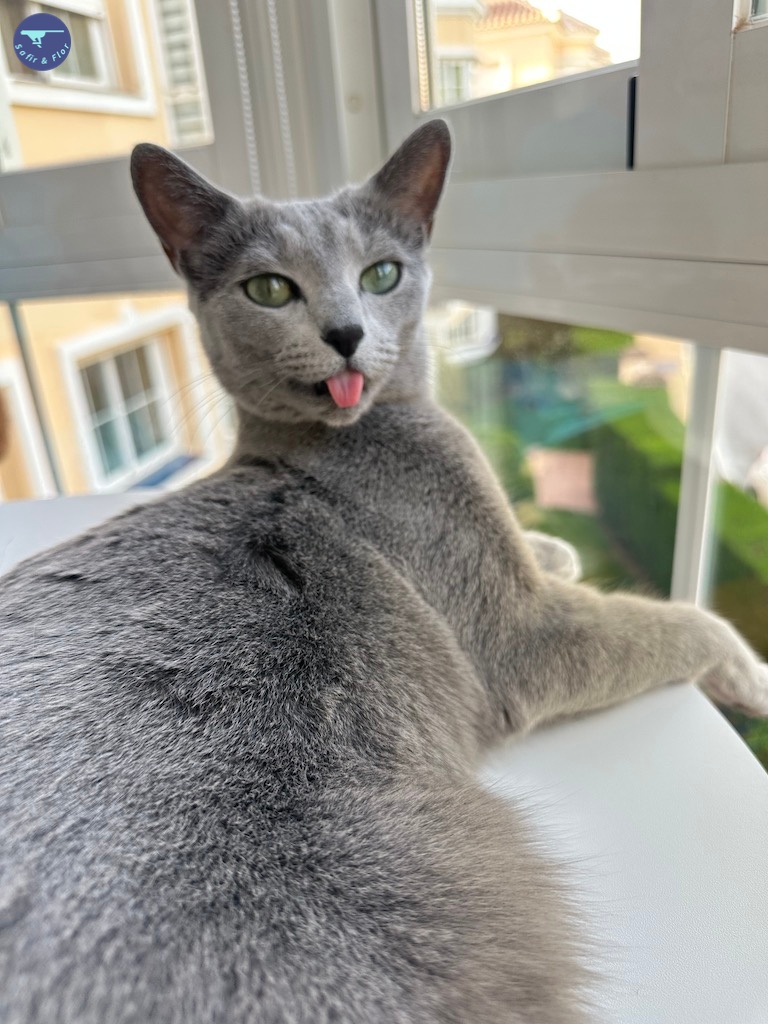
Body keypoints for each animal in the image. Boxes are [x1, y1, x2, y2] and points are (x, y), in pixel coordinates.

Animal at [1, 119, 767, 1024]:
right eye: (269, 289)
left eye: (382, 274)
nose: (345, 332)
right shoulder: (526, 634)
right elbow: (676, 621)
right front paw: (751, 673)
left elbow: (535, 551)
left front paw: (555, 547)